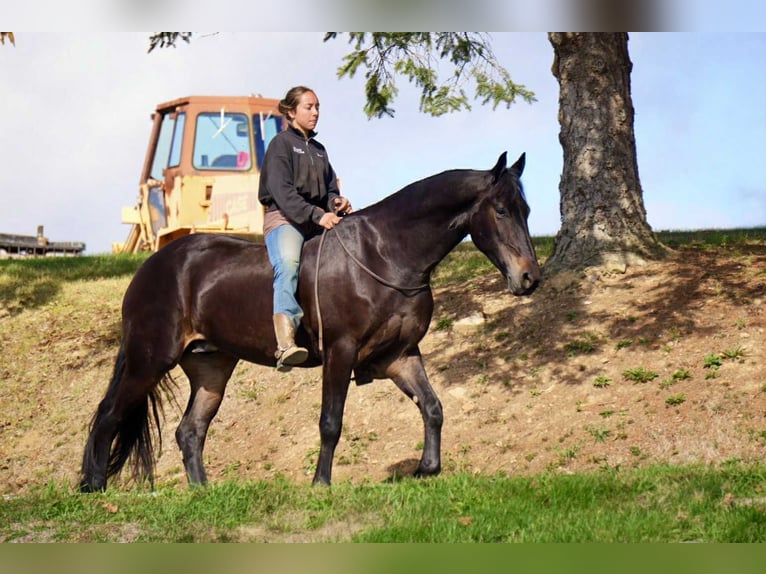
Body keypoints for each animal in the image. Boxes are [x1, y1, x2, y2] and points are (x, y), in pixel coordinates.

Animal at [79, 151, 541, 492]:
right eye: (501, 210)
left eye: (527, 210)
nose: (529, 277)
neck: (385, 254)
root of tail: (151, 268)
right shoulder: (340, 351)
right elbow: (330, 423)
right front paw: (321, 484)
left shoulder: (401, 355)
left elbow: (433, 407)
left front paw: (426, 469)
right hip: (150, 360)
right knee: (109, 416)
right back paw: (94, 487)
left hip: (211, 367)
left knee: (189, 431)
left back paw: (201, 493)